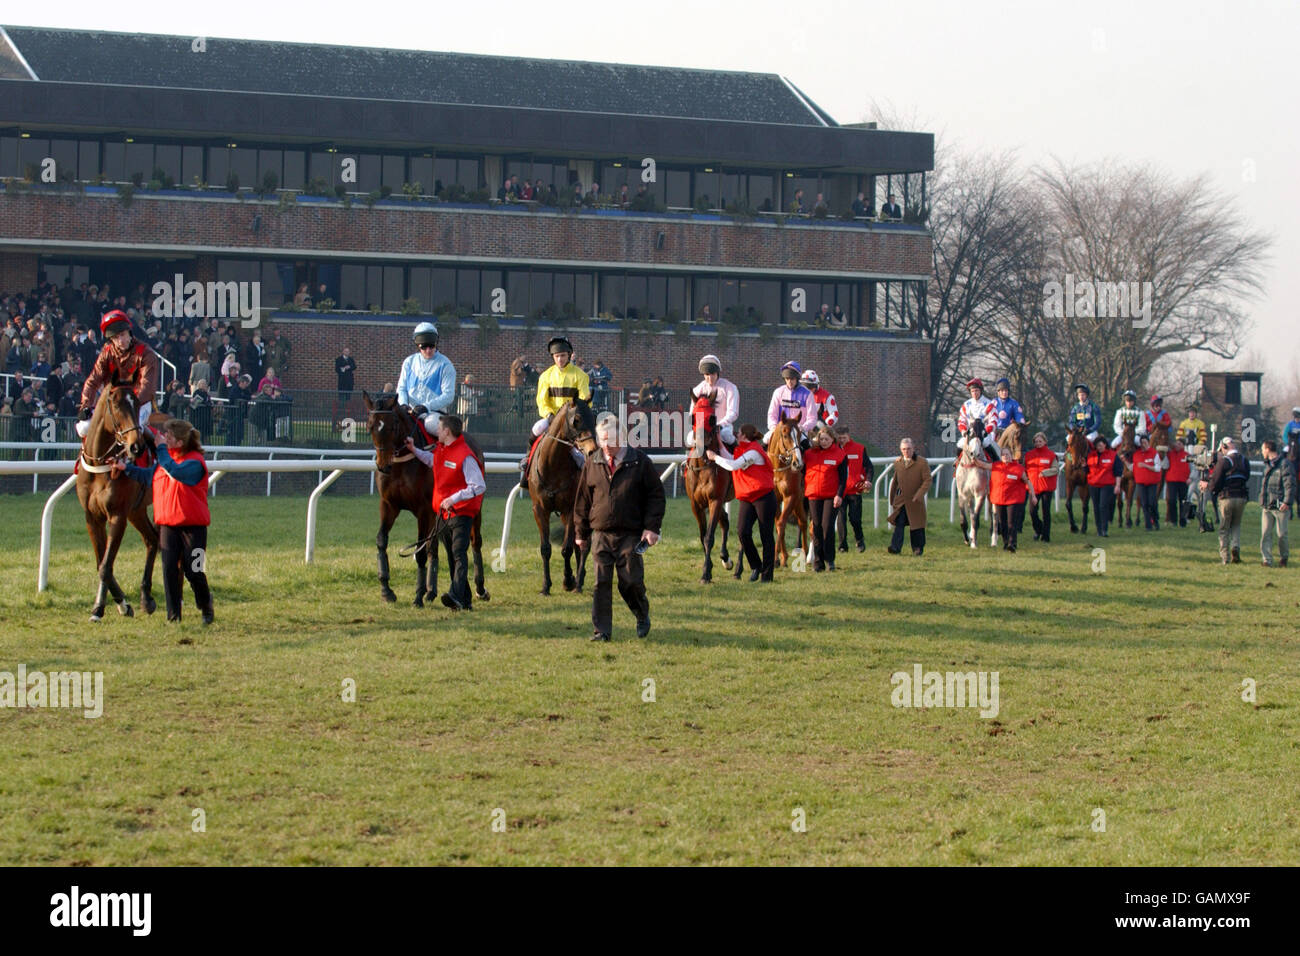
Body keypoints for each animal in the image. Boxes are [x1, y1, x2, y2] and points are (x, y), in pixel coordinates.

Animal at [76, 385, 158, 624]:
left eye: (137, 403)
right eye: (116, 405)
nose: (136, 447)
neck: (100, 463)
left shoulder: (117, 515)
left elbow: (105, 565)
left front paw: (98, 608)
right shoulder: (92, 517)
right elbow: (102, 562)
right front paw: (122, 604)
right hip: (136, 510)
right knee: (152, 540)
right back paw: (146, 597)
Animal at [364, 392, 488, 608]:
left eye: (392, 426)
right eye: (370, 426)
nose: (383, 465)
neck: (401, 465)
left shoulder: (424, 511)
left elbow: (421, 550)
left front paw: (418, 595)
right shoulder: (389, 505)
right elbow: (381, 541)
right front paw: (386, 589)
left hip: (472, 507)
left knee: (474, 542)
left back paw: (479, 589)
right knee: (440, 547)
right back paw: (436, 592)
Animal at [525, 395, 595, 590]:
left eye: (594, 418)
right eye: (576, 420)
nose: (592, 450)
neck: (553, 465)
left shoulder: (570, 509)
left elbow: (567, 548)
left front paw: (568, 580)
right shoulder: (539, 509)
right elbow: (546, 548)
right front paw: (546, 585)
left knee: (583, 544)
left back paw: (579, 579)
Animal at [681, 390, 733, 582]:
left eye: (712, 417)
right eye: (693, 417)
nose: (702, 442)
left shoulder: (715, 500)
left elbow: (709, 537)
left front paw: (705, 572)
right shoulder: (696, 504)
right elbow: (702, 535)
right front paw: (709, 568)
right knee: (725, 521)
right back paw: (726, 558)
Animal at [764, 413, 806, 564]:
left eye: (798, 434)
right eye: (785, 435)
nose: (798, 463)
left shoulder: (791, 497)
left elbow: (781, 523)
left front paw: (776, 558)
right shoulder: (775, 499)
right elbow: (777, 523)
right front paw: (782, 556)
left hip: (800, 499)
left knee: (804, 523)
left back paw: (807, 555)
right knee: (802, 521)